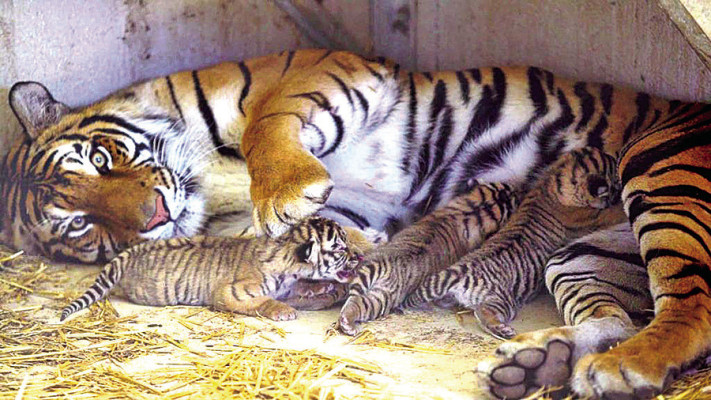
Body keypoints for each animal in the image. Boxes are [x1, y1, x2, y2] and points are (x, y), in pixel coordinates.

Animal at [60, 216, 366, 321]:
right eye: (340, 249)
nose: (360, 256)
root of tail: (131, 251)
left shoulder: (289, 286)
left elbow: (303, 289)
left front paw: (324, 287)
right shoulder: (231, 293)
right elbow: (263, 301)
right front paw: (283, 311)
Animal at [402, 147, 627, 340]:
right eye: (613, 182)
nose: (619, 159)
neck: (555, 180)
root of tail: (460, 271)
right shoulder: (592, 216)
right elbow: (612, 212)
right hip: (502, 301)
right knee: (483, 313)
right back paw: (503, 331)